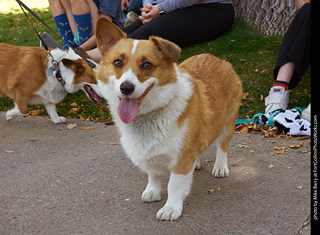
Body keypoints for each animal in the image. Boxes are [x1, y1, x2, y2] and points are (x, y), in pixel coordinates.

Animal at [95, 19, 242, 221]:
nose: (126, 88)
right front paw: (153, 191)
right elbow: (153, 175)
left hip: (228, 124)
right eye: (117, 62)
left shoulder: (181, 161)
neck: (149, 115)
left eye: (147, 65)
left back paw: (220, 167)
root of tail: (219, 59)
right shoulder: (151, 155)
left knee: (222, 146)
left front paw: (171, 208)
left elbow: (174, 185)